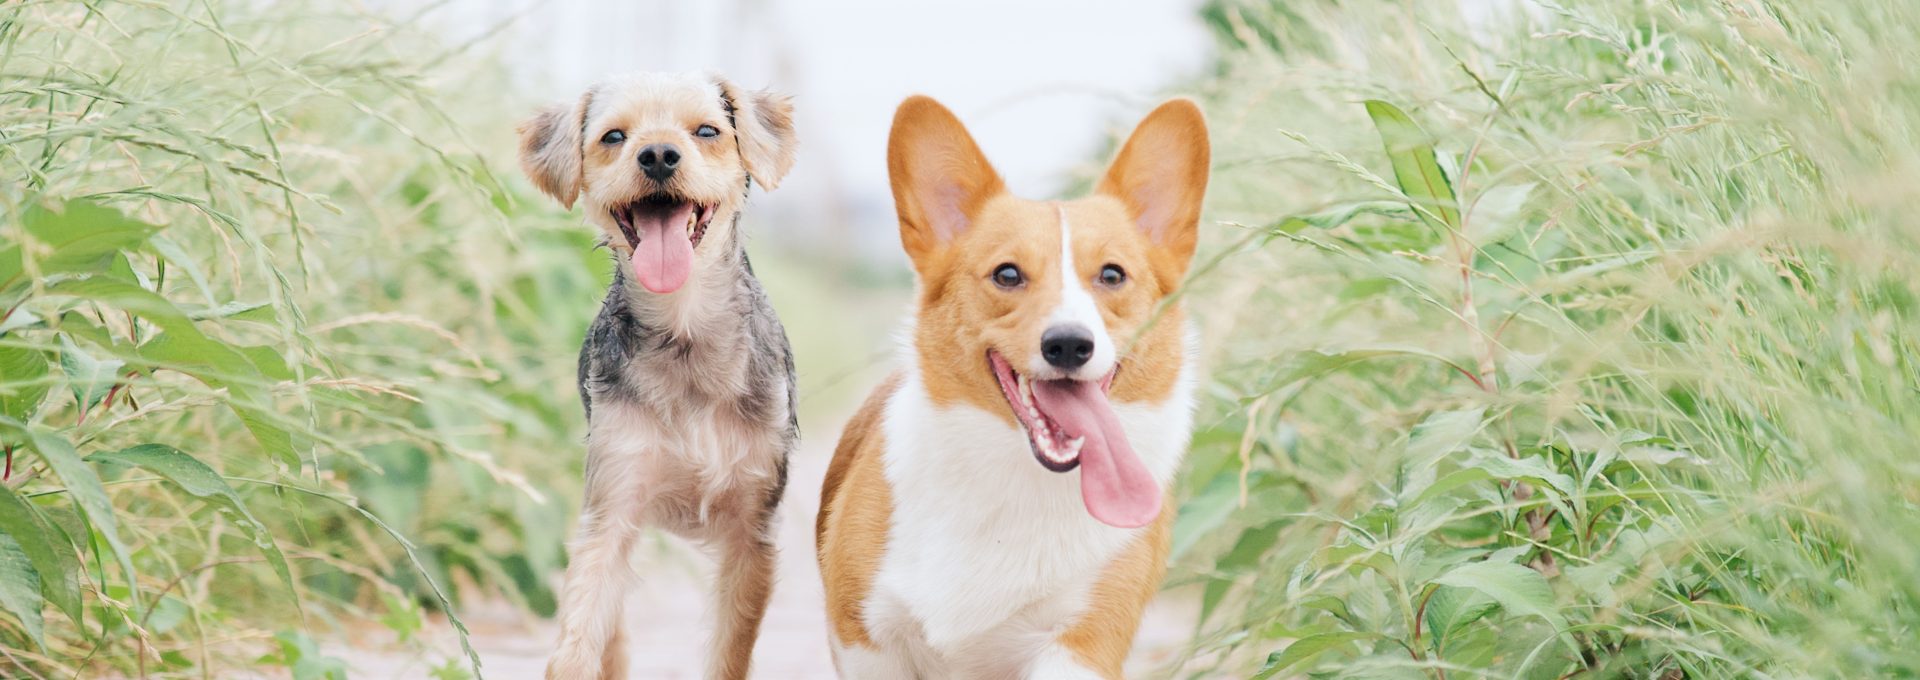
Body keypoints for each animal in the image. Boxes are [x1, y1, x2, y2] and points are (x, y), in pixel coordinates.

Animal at [514, 71, 798, 676]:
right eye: (614, 136)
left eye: (708, 131)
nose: (660, 154)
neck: (683, 326)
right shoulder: (612, 505)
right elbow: (579, 634)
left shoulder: (752, 531)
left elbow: (729, 651)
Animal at [814, 97, 1205, 680]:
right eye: (1007, 275)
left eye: (1112, 275)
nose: (1069, 345)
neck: (1019, 477)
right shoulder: (867, 640)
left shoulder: (1080, 644)